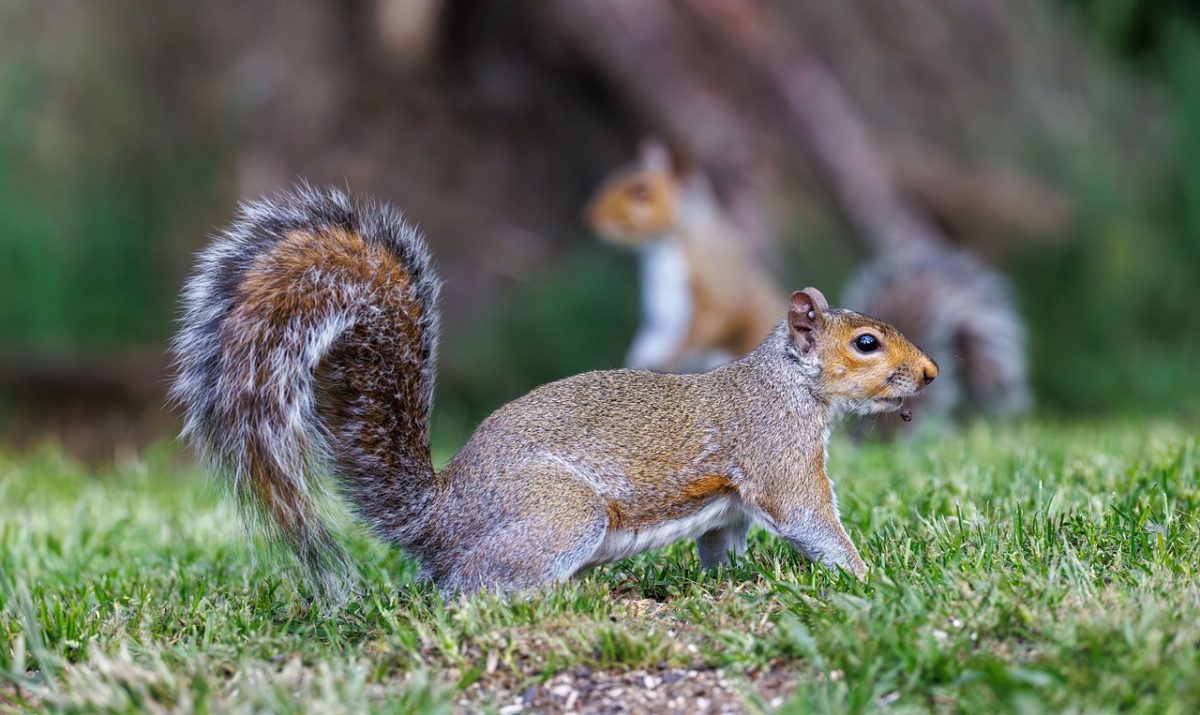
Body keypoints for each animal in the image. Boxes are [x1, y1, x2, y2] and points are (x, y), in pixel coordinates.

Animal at [171, 185, 938, 596]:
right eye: (866, 343)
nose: (930, 374)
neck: (785, 380)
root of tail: (440, 515)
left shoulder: (733, 501)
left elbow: (724, 537)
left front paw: (729, 576)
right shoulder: (777, 452)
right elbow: (810, 517)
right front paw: (867, 574)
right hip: (561, 514)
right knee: (469, 589)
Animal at [585, 140, 784, 372]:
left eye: (641, 191)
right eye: (614, 175)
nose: (591, 216)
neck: (660, 247)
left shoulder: (718, 281)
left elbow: (712, 321)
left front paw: (671, 359)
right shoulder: (656, 315)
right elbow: (650, 335)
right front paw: (636, 360)